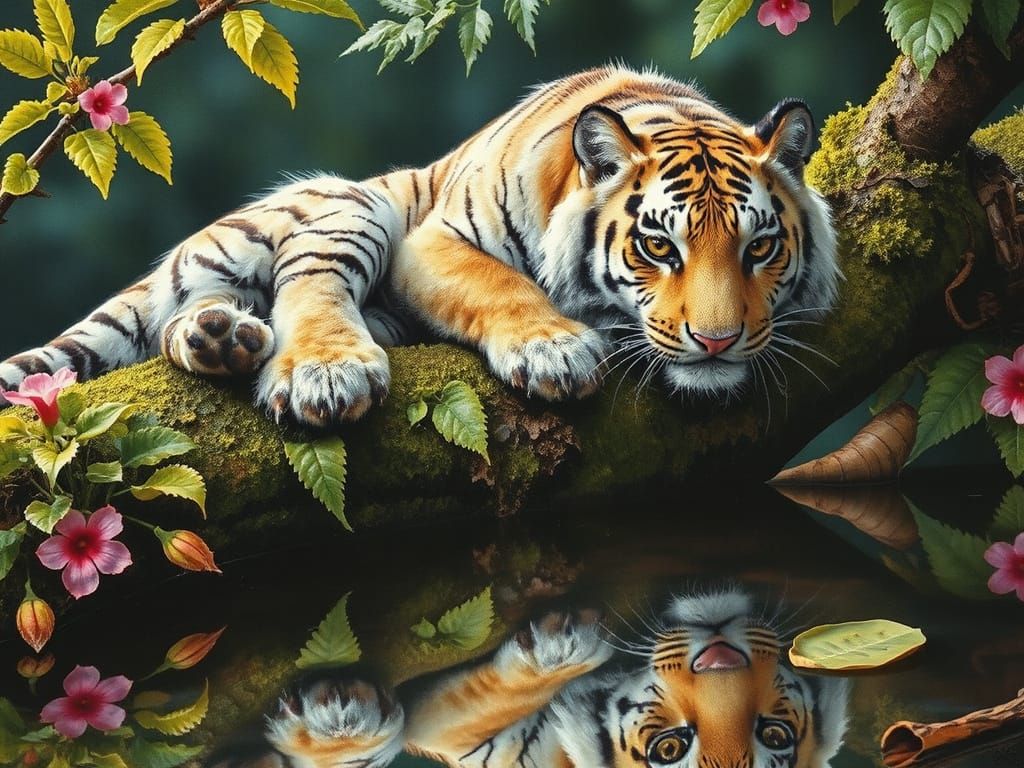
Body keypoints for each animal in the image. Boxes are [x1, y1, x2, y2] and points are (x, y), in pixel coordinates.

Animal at [0, 66, 839, 427]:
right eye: (659, 247)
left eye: (760, 248)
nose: (718, 342)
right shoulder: (432, 241)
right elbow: (502, 286)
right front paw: (554, 352)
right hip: (351, 203)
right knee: (306, 290)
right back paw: (323, 370)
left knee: (192, 320)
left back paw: (220, 339)